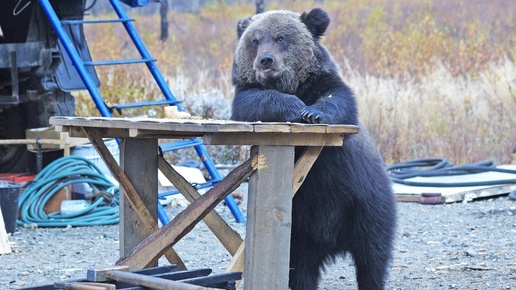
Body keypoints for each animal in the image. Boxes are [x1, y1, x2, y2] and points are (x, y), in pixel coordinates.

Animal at [232, 7, 398, 288]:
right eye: (255, 40)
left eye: (281, 37)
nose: (265, 60)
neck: (291, 84)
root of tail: (331, 242)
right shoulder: (246, 94)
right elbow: (253, 100)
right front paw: (293, 106)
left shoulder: (323, 81)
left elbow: (337, 99)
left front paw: (312, 113)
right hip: (301, 230)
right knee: (301, 268)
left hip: (365, 203)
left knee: (373, 255)